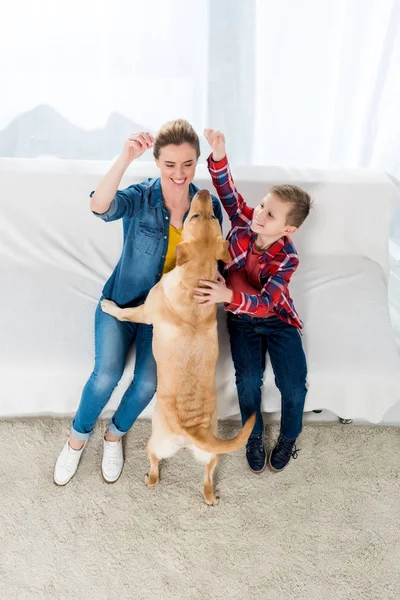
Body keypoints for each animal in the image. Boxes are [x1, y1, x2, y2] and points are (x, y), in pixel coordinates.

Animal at [101, 190, 255, 504]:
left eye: (195, 216)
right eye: (207, 216)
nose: (205, 192)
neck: (196, 279)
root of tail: (190, 431)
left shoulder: (145, 312)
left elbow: (126, 312)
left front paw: (109, 306)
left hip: (155, 442)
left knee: (154, 464)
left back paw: (150, 479)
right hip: (211, 456)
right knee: (208, 475)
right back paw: (210, 497)